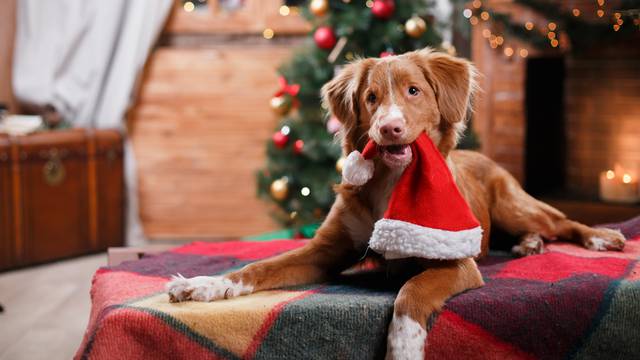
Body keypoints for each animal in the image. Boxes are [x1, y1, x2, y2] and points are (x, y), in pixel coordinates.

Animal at [166, 48, 624, 360]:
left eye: (413, 91)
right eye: (370, 98)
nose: (389, 128)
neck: (390, 183)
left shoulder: (456, 262)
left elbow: (409, 294)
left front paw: (403, 347)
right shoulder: (323, 252)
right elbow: (257, 267)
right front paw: (204, 285)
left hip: (514, 205)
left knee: (562, 222)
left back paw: (599, 237)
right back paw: (529, 245)